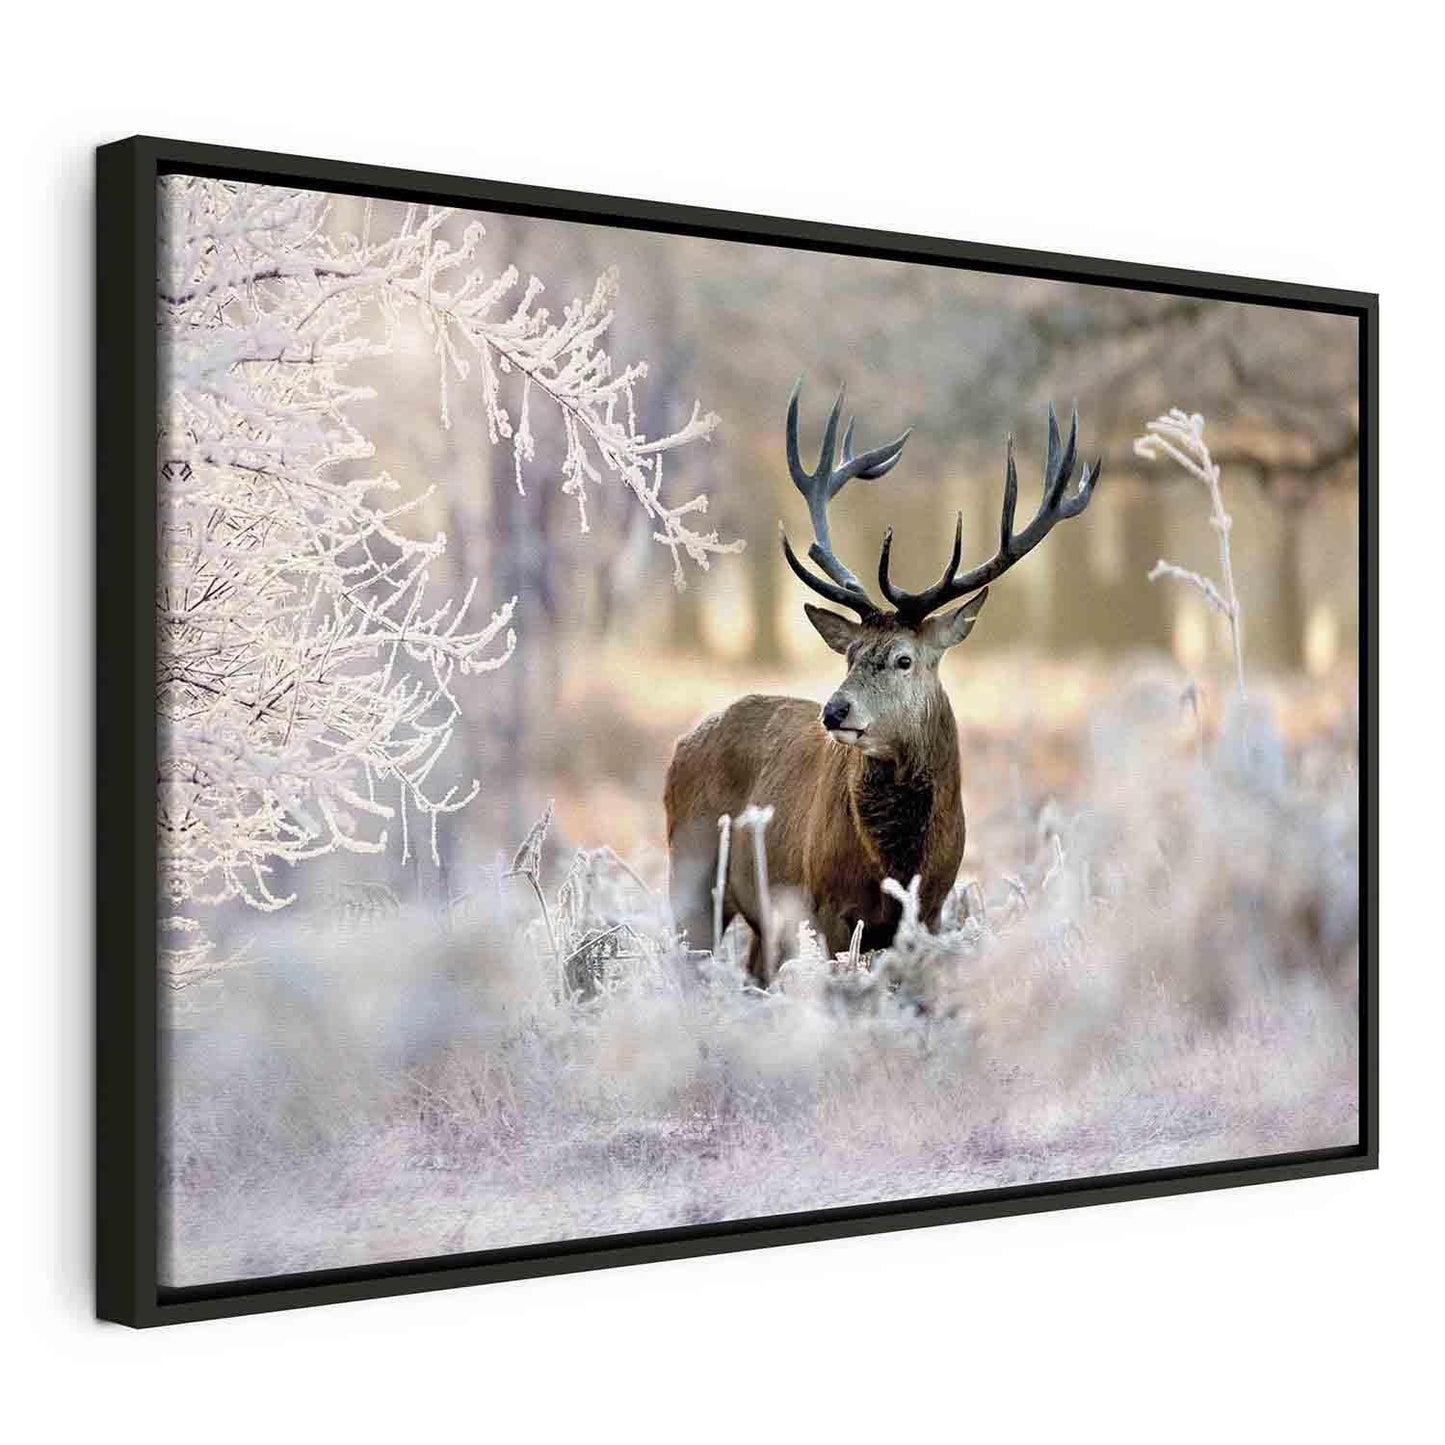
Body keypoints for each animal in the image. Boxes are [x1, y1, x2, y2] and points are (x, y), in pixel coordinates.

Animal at [664, 382, 1102, 985]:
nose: (835, 711)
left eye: (903, 659)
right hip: (691, 870)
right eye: (849, 654)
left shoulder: (933, 909)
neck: (897, 862)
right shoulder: (824, 906)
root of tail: (680, 746)